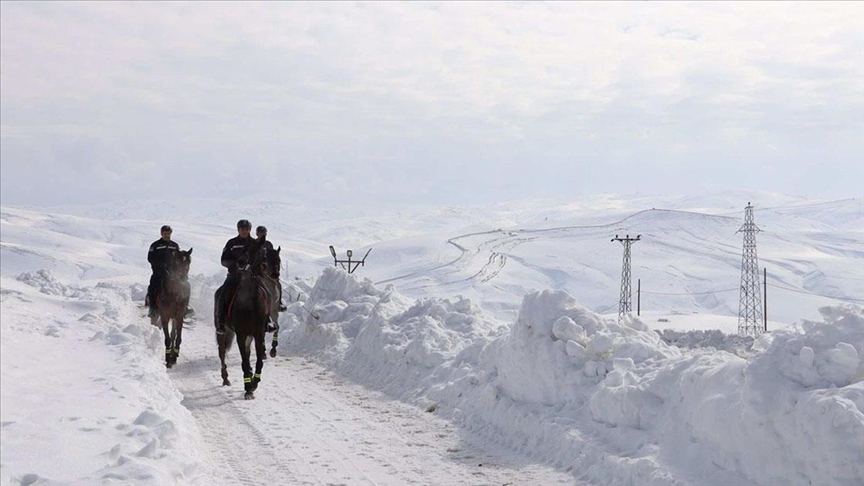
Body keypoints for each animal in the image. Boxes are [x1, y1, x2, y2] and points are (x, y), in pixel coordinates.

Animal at [216, 247, 270, 398]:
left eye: (265, 262)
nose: (240, 263)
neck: (250, 304)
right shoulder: (241, 334)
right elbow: (244, 361)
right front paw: (248, 388)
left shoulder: (258, 334)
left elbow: (258, 360)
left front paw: (254, 382)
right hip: (223, 331)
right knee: (221, 352)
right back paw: (225, 378)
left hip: (249, 336)